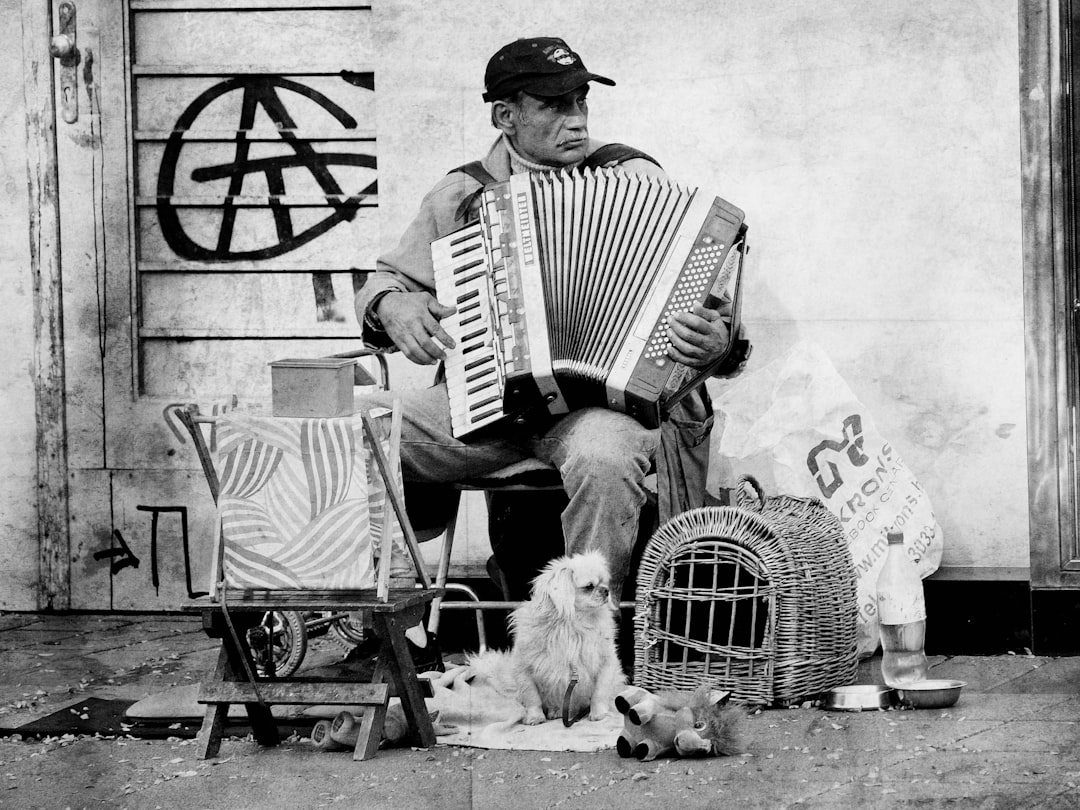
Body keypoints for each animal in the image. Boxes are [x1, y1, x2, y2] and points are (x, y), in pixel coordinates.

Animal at [470, 557, 626, 725]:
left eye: (604, 583)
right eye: (589, 586)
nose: (606, 590)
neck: (574, 624)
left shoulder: (606, 662)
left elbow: (599, 692)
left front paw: (598, 713)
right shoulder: (524, 669)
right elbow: (532, 697)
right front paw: (535, 717)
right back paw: (556, 711)